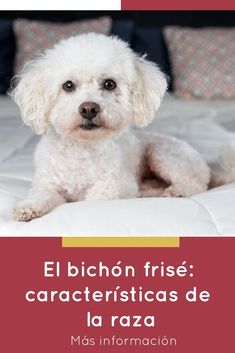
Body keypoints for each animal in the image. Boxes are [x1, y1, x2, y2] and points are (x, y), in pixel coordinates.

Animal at [11, 32, 212, 220]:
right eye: (68, 85)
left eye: (109, 84)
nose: (89, 108)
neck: (82, 148)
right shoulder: (48, 183)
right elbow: (40, 194)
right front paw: (28, 207)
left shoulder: (120, 183)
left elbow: (98, 194)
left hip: (164, 154)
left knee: (196, 183)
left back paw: (177, 191)